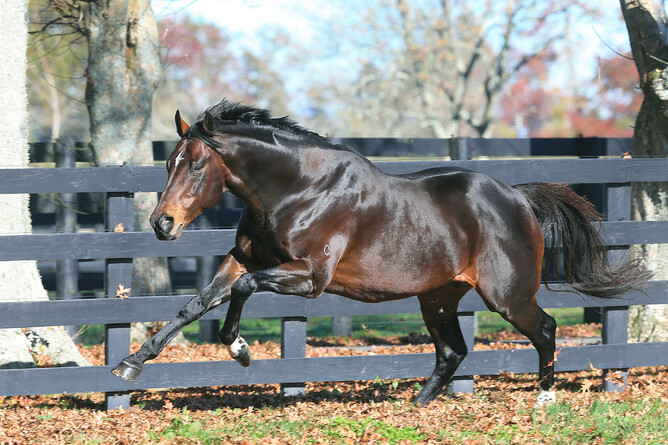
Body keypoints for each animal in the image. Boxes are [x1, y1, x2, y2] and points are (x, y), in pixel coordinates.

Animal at [112, 100, 650, 406]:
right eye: (169, 162)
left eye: (197, 165)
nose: (162, 224)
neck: (298, 188)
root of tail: (517, 198)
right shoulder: (244, 259)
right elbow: (195, 304)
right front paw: (130, 364)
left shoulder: (310, 277)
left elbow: (240, 292)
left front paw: (239, 350)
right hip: (438, 297)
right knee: (452, 351)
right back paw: (416, 404)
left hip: (508, 296)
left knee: (545, 330)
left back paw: (544, 397)